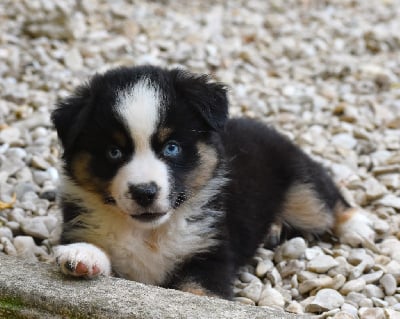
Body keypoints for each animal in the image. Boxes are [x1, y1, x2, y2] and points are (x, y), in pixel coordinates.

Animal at [51, 65, 374, 300]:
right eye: (114, 152)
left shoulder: (208, 255)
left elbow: (198, 291)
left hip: (300, 186)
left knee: (326, 199)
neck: (149, 233)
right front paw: (82, 255)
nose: (144, 192)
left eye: (171, 147)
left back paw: (358, 226)